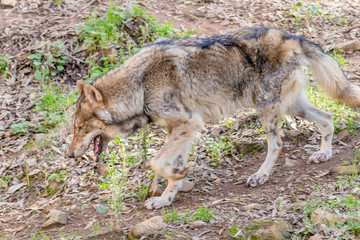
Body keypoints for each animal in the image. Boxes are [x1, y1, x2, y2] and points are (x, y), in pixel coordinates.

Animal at [67, 27, 360, 209]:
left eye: (80, 128)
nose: (69, 156)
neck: (140, 86)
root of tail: (291, 36)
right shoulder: (180, 130)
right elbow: (169, 169)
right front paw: (166, 198)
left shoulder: (188, 125)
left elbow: (155, 161)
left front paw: (173, 180)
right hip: (290, 107)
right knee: (327, 117)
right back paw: (324, 154)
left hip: (267, 110)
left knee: (277, 144)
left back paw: (260, 176)